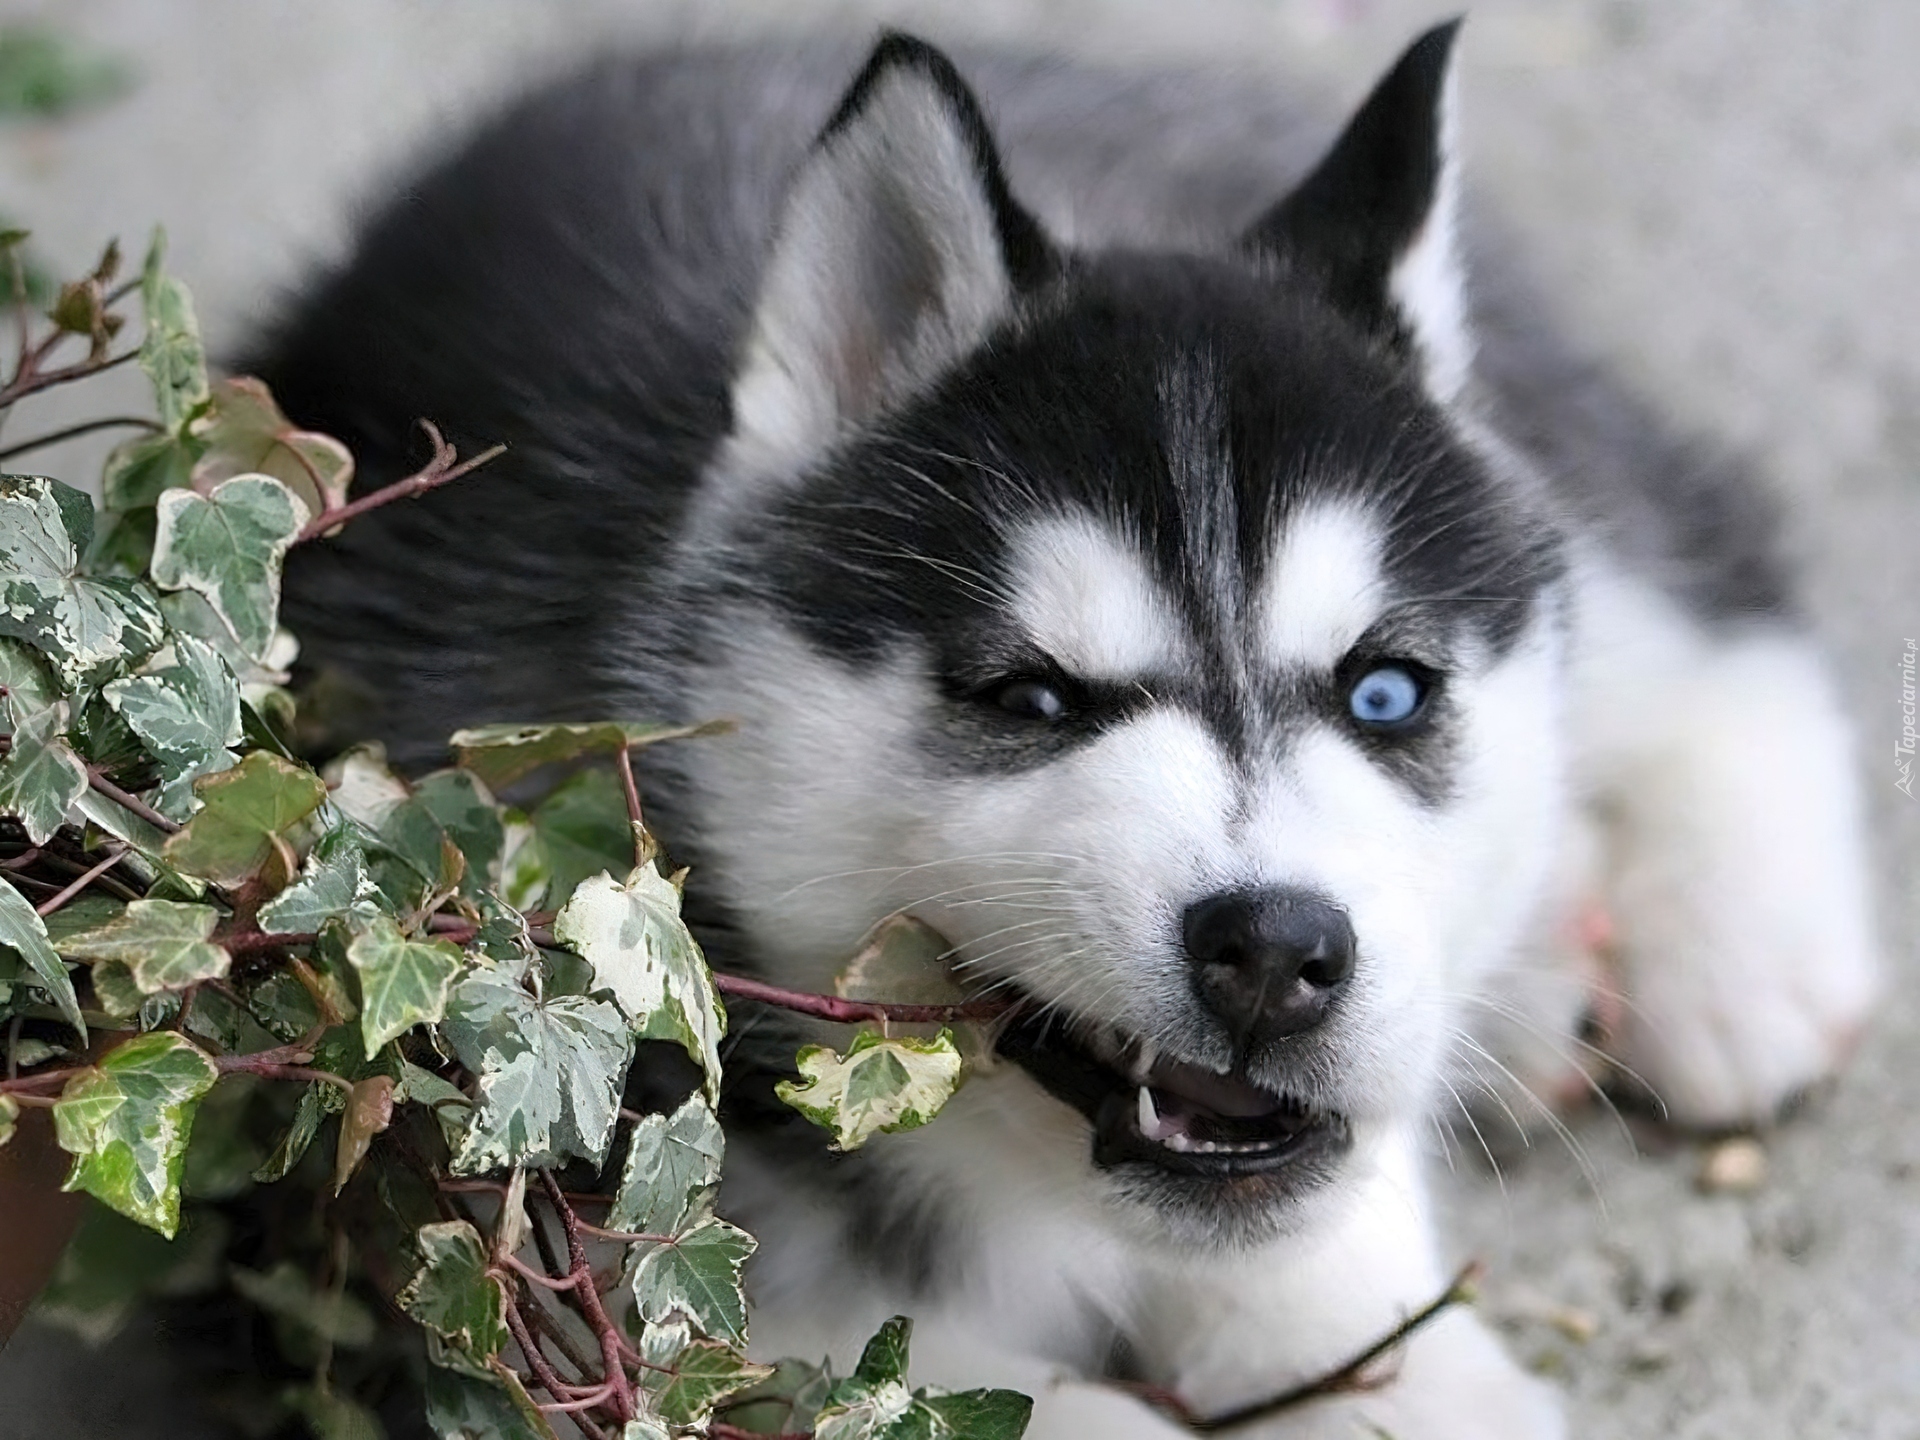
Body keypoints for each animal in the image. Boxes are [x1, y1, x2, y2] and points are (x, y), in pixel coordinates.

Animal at [263, 25, 1881, 1440]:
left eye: (1386, 695)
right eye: (1032, 700)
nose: (1278, 952)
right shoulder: (536, 1242)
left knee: (1697, 568)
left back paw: (1743, 956)